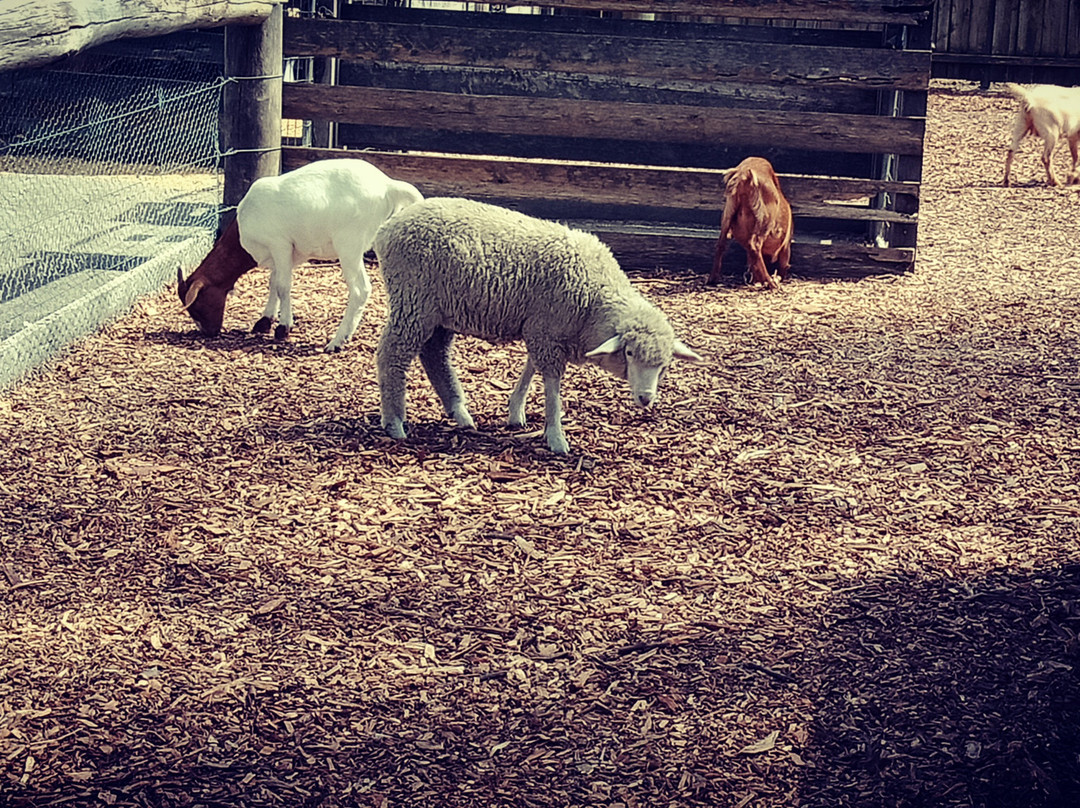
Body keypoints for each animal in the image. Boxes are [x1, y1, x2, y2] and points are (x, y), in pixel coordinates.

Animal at [375, 197, 704, 453]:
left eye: (664, 365)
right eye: (630, 353)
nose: (646, 399)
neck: (595, 296)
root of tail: (388, 228)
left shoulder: (542, 327)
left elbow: (531, 366)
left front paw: (515, 411)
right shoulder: (547, 329)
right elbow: (551, 384)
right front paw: (556, 437)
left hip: (439, 312)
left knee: (434, 354)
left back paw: (460, 414)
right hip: (413, 300)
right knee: (393, 354)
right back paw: (394, 422)